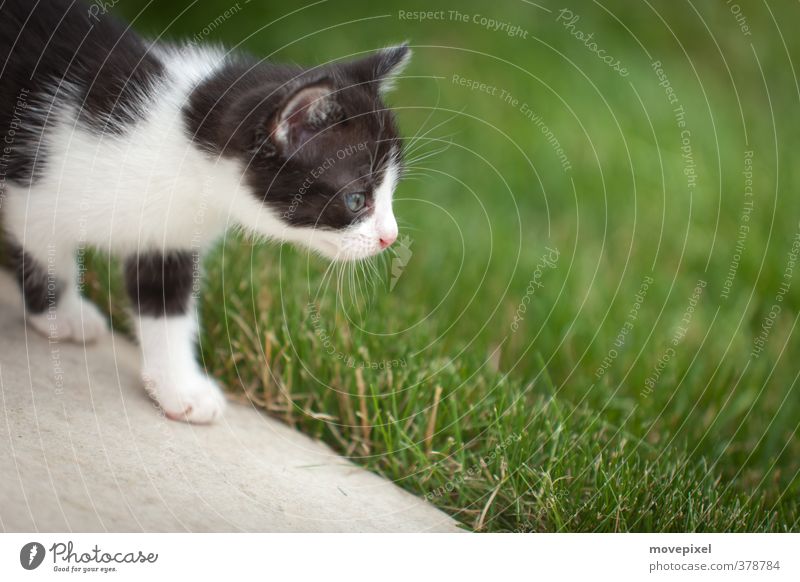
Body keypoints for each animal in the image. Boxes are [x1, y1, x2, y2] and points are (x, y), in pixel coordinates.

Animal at [0, 0, 410, 424]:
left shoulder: (170, 237)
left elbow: (166, 305)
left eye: (391, 191)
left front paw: (178, 388)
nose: (390, 236)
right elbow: (47, 256)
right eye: (357, 200)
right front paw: (62, 314)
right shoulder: (35, 185)